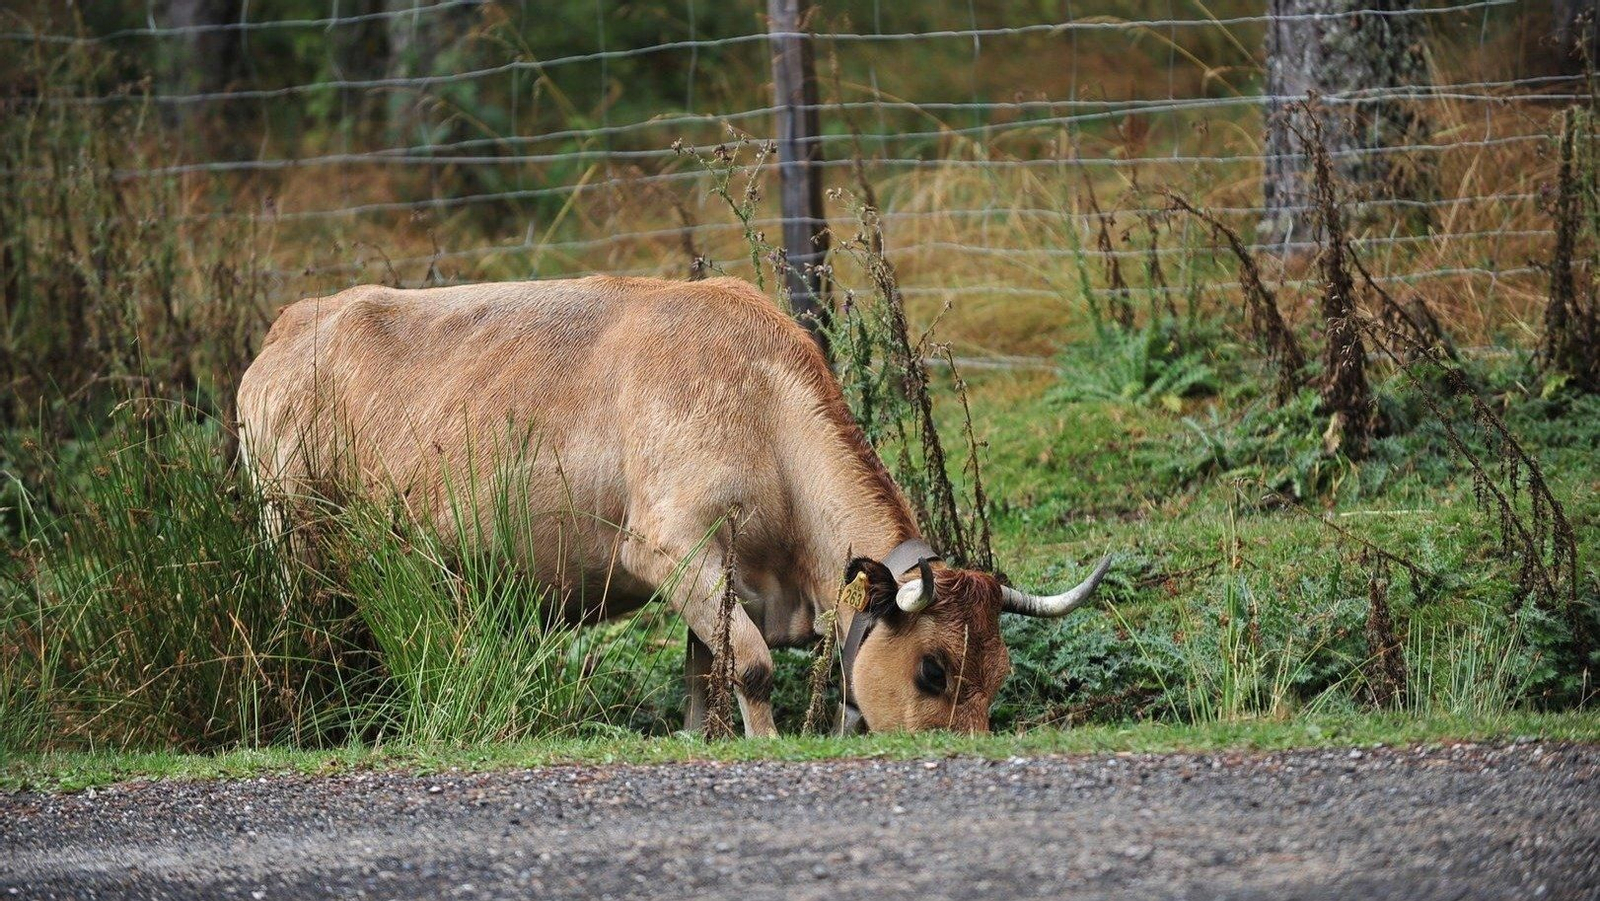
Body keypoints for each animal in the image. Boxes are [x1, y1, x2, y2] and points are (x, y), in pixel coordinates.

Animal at [237, 276, 1113, 736]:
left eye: (997, 675)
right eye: (932, 668)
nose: (965, 748)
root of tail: (294, 321)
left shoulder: (728, 581)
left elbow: (706, 671)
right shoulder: (672, 546)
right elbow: (752, 666)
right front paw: (766, 745)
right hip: (290, 531)